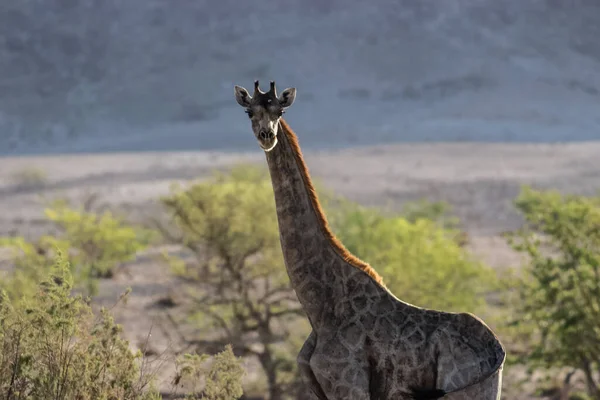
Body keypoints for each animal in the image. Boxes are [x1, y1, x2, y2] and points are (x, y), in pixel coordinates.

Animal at [232, 81, 504, 400]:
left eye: (280, 111)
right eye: (249, 111)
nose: (267, 136)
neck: (320, 307)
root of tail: (497, 351)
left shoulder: (349, 385)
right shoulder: (317, 390)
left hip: (465, 390)